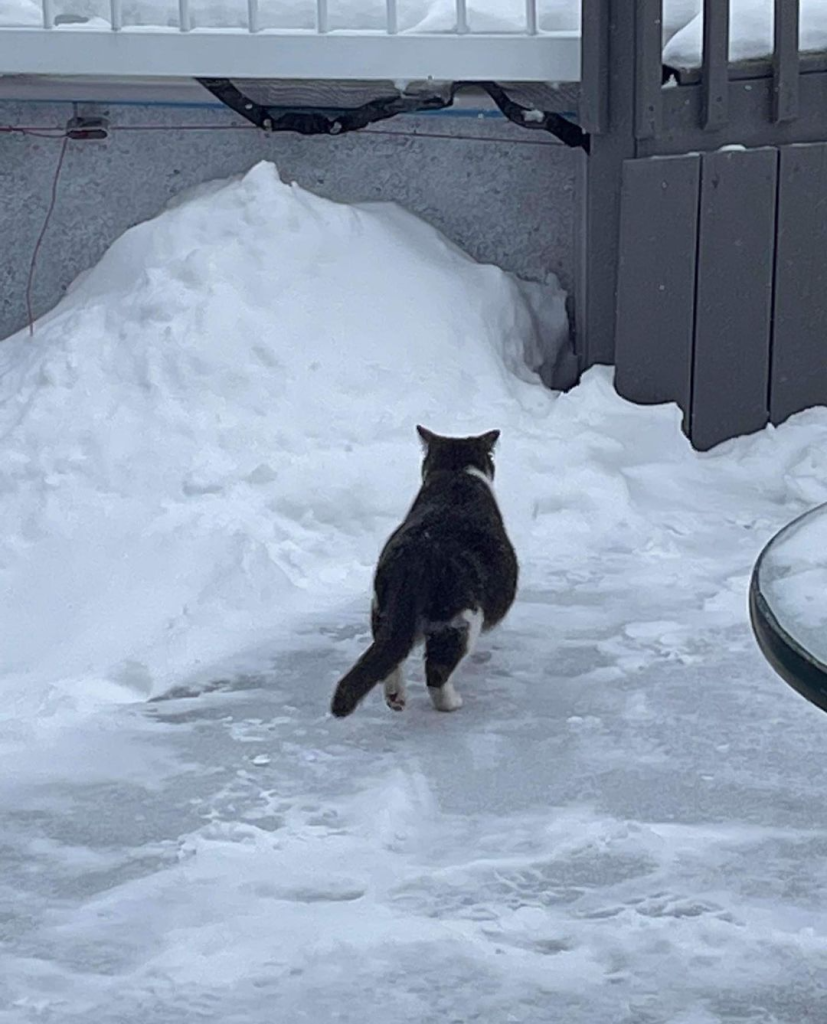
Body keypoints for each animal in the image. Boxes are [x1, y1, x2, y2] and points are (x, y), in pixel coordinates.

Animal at [329, 423, 515, 720]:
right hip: (462, 617)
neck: (455, 473)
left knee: (391, 653)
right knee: (436, 671)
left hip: (381, 607)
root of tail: (418, 555)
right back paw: (451, 702)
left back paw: (396, 698)